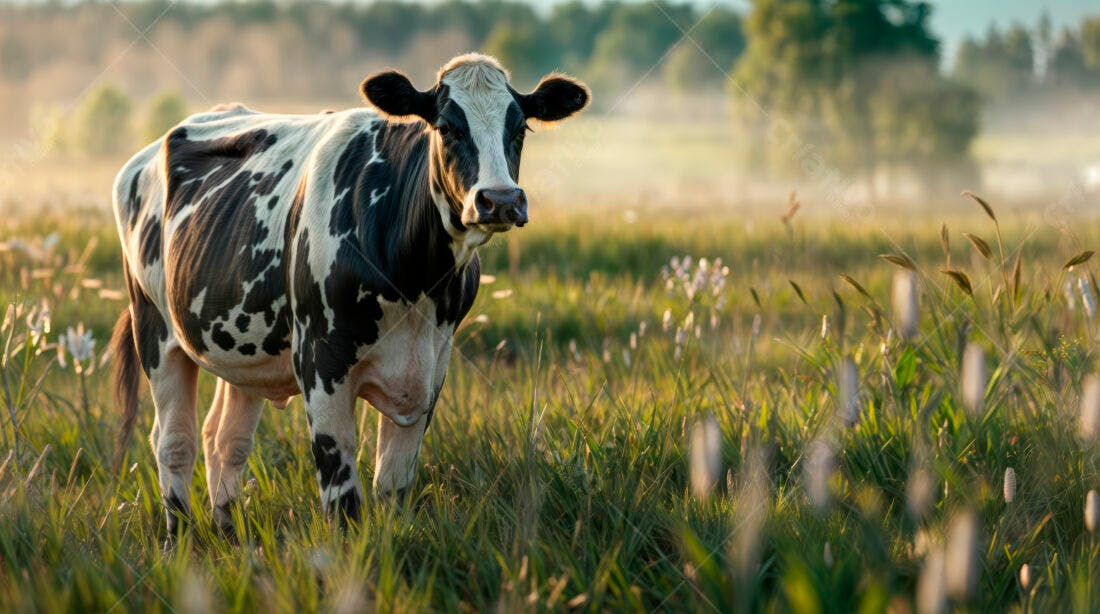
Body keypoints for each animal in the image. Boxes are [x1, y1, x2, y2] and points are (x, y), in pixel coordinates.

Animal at [109, 53, 589, 538]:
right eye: (447, 127)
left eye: (520, 128)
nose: (501, 199)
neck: (415, 284)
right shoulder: (320, 360)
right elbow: (341, 494)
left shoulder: (431, 366)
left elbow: (394, 486)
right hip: (156, 330)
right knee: (173, 442)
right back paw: (179, 539)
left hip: (242, 347)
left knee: (225, 439)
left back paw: (228, 532)